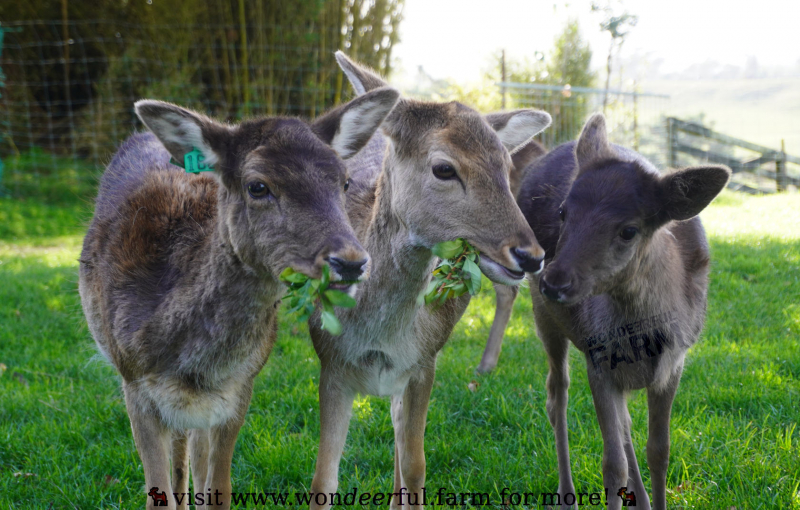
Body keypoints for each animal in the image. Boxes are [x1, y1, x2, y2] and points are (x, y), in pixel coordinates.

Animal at [79, 88, 398, 510]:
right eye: (258, 186)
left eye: (344, 182)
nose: (351, 261)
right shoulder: (133, 382)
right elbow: (158, 494)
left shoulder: (240, 387)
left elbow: (219, 489)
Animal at [304, 52, 552, 510]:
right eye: (443, 168)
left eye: (505, 166)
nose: (531, 255)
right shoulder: (330, 362)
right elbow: (322, 480)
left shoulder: (424, 363)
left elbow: (416, 467)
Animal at [520, 114, 732, 510]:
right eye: (563, 212)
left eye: (629, 230)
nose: (553, 281)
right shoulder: (598, 357)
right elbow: (612, 466)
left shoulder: (673, 363)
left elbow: (659, 451)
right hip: (545, 319)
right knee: (557, 397)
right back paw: (567, 494)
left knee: (625, 422)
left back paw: (642, 499)